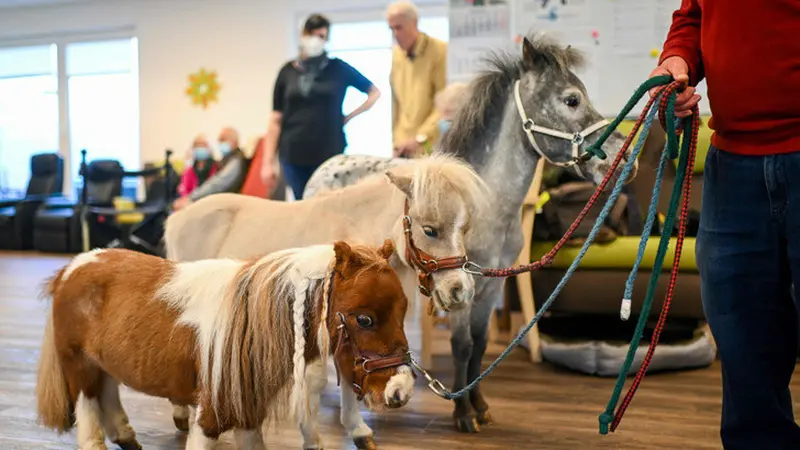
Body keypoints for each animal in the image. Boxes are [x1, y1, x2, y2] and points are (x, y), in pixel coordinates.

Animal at [36, 241, 412, 448]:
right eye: (364, 319)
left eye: (404, 309)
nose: (402, 390)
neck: (248, 325)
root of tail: (72, 268)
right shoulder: (211, 416)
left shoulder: (247, 415)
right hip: (79, 366)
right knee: (89, 413)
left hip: (103, 364)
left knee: (109, 393)